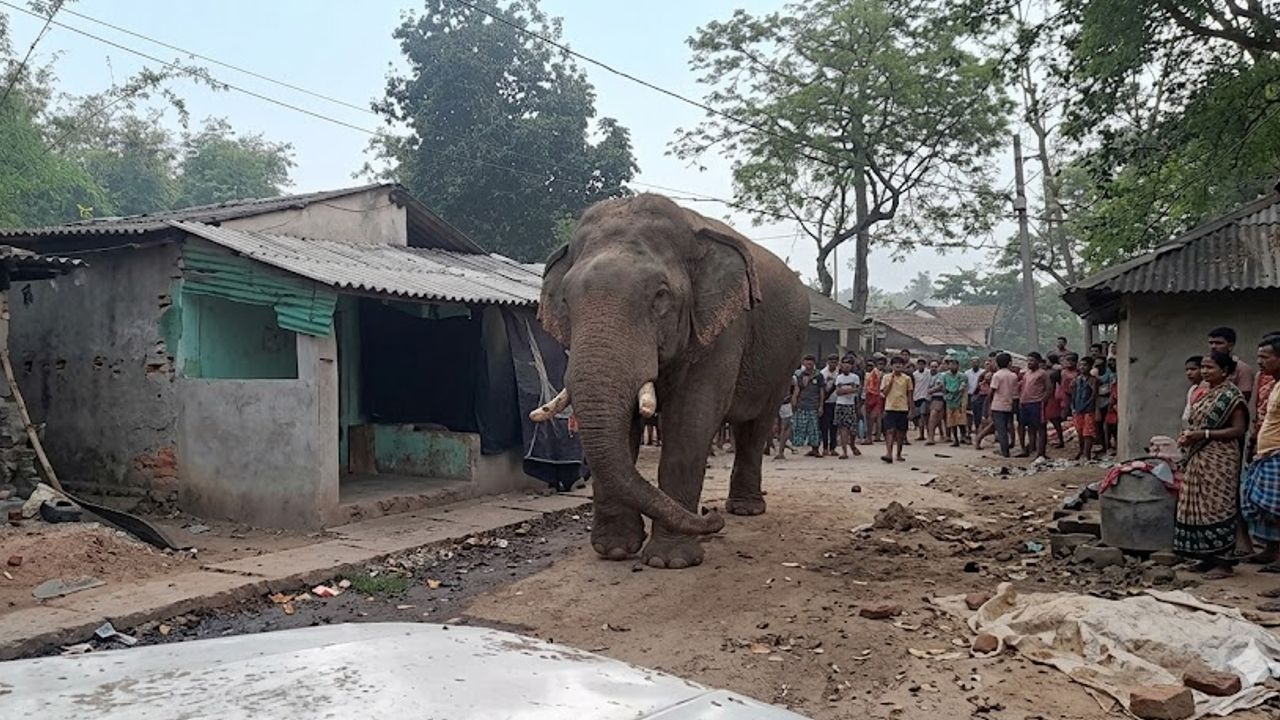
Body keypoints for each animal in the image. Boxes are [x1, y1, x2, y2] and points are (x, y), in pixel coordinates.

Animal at [534, 193, 810, 569]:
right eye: (565, 299)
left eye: (660, 296)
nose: (709, 517)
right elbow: (625, 427)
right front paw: (615, 551)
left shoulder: (723, 328)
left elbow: (690, 418)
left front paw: (671, 561)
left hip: (785, 360)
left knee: (756, 426)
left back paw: (745, 510)